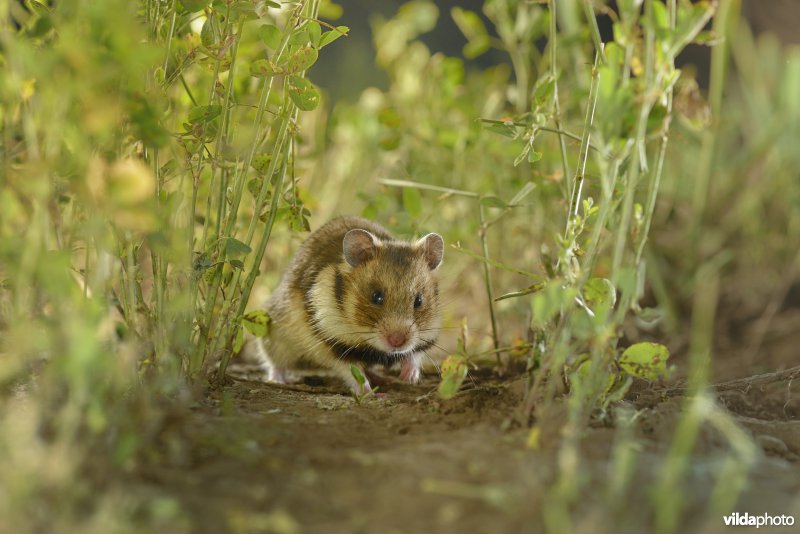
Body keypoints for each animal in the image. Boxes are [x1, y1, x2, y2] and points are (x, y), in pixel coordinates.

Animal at [237, 216, 444, 392]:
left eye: (419, 300)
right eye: (376, 296)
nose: (397, 342)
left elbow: (413, 355)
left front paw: (408, 377)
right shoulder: (334, 345)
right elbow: (351, 372)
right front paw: (369, 393)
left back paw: (384, 379)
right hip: (274, 336)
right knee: (274, 362)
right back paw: (278, 381)